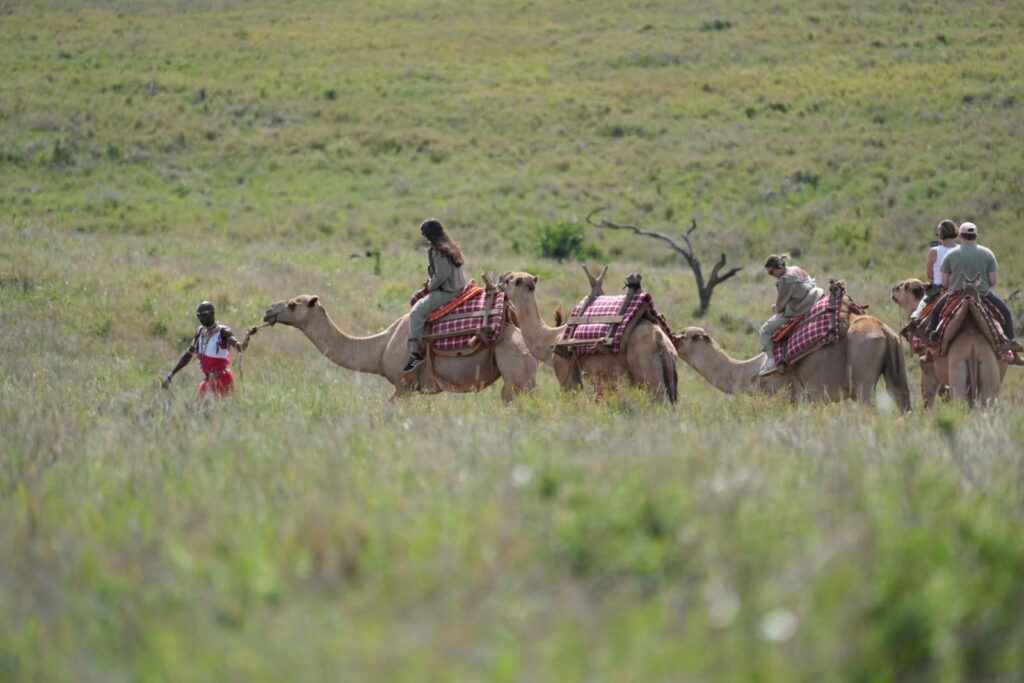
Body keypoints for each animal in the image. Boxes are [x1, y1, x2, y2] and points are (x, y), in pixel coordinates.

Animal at [498, 269, 678, 404]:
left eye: (508, 280)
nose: (499, 282)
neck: (552, 338)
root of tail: (660, 340)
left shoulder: (565, 371)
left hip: (645, 367)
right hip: (669, 370)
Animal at [670, 314, 912, 410]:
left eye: (685, 335)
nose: (670, 335)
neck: (751, 372)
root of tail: (885, 331)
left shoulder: (782, 394)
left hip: (862, 378)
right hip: (894, 367)